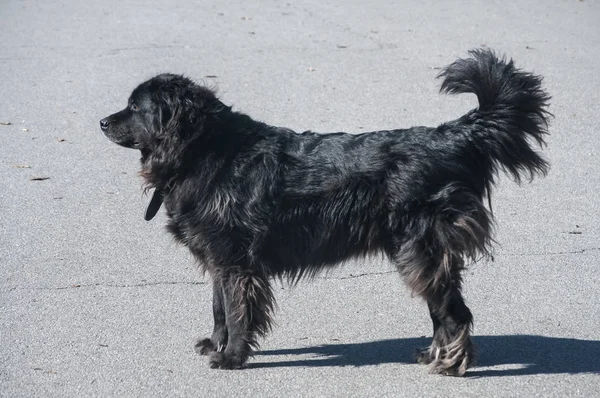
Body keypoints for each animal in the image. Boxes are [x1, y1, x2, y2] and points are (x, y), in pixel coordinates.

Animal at [101, 48, 552, 374]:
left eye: (135, 107)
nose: (103, 122)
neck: (204, 148)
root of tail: (455, 135)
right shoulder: (219, 258)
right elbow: (219, 308)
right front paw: (216, 342)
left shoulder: (235, 261)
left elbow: (237, 310)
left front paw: (230, 357)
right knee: (444, 307)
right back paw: (434, 354)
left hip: (420, 249)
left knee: (454, 311)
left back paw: (450, 363)